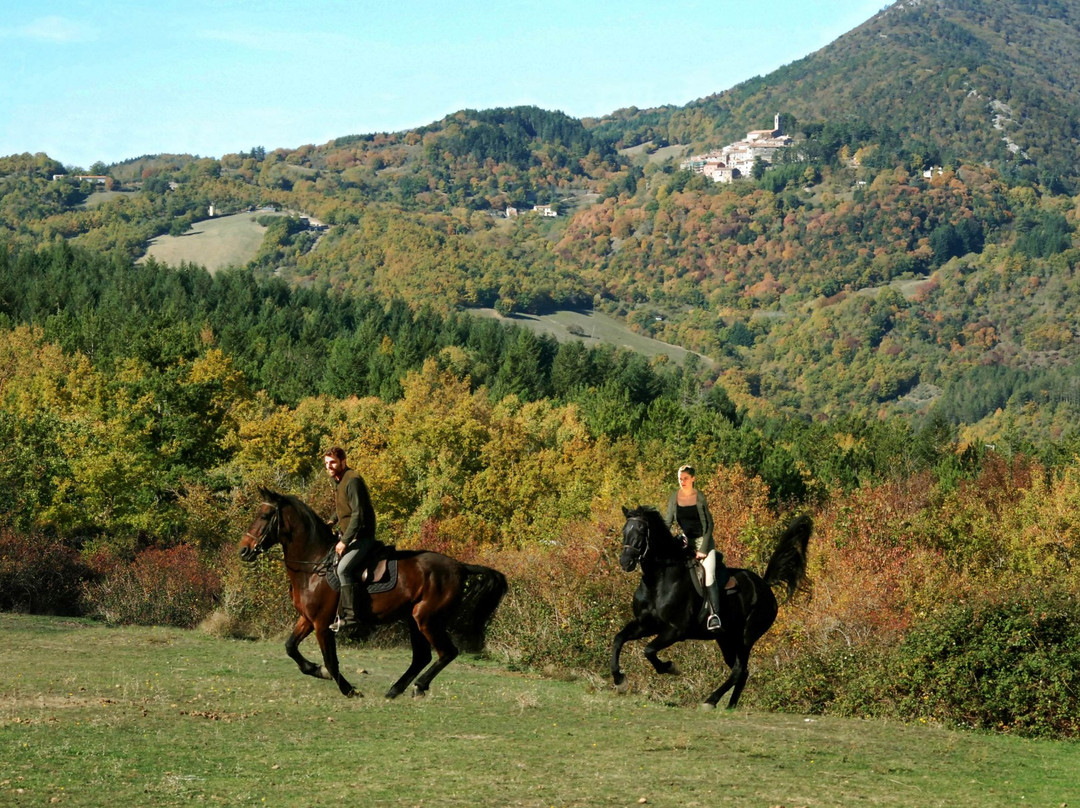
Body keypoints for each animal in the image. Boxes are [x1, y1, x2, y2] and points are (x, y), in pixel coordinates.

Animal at [238, 486, 507, 699]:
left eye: (264, 515)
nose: (244, 550)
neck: (314, 565)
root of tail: (459, 566)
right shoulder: (307, 619)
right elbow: (290, 647)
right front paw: (317, 671)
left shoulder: (322, 623)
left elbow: (331, 661)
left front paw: (349, 689)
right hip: (414, 619)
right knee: (422, 657)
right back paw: (395, 690)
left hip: (427, 619)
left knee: (447, 652)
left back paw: (418, 686)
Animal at [609, 505, 812, 708]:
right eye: (624, 530)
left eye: (642, 531)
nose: (625, 562)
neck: (658, 581)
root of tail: (764, 585)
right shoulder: (646, 624)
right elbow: (619, 639)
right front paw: (620, 681)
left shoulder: (675, 630)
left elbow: (649, 650)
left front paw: (670, 667)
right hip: (726, 638)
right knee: (742, 672)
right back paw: (730, 707)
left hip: (746, 637)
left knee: (739, 670)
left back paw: (711, 701)